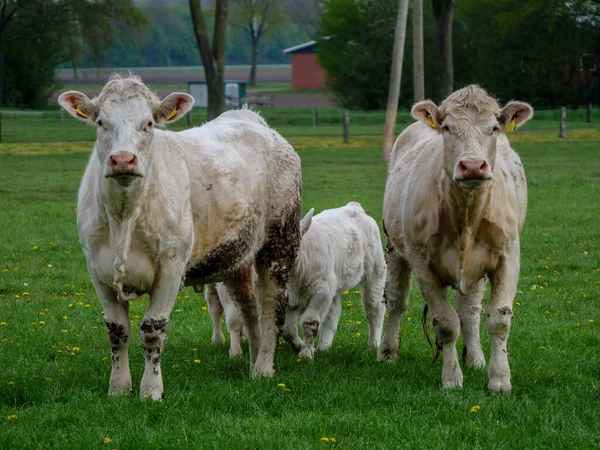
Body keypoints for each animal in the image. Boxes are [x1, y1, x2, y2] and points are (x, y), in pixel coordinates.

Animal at [59, 74, 302, 400]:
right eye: (100, 122)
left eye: (149, 123)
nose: (123, 159)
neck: (124, 215)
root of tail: (253, 120)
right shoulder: (98, 269)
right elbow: (117, 330)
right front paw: (119, 388)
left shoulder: (171, 266)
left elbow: (153, 330)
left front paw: (151, 390)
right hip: (237, 256)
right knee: (250, 310)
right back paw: (254, 364)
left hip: (280, 243)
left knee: (271, 307)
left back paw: (264, 367)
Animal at [282, 202, 384, 360]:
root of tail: (354, 206)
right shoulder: (287, 297)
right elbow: (287, 330)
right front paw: (300, 346)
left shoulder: (321, 292)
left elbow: (309, 323)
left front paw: (306, 354)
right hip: (334, 283)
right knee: (333, 312)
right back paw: (324, 346)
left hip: (376, 271)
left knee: (374, 308)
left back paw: (374, 344)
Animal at [382, 83, 532, 390]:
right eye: (448, 127)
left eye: (494, 128)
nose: (473, 166)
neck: (466, 215)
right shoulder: (422, 262)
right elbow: (446, 323)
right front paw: (452, 378)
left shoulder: (508, 255)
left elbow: (499, 319)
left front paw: (499, 379)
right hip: (395, 248)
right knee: (396, 300)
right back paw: (388, 352)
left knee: (470, 310)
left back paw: (475, 358)